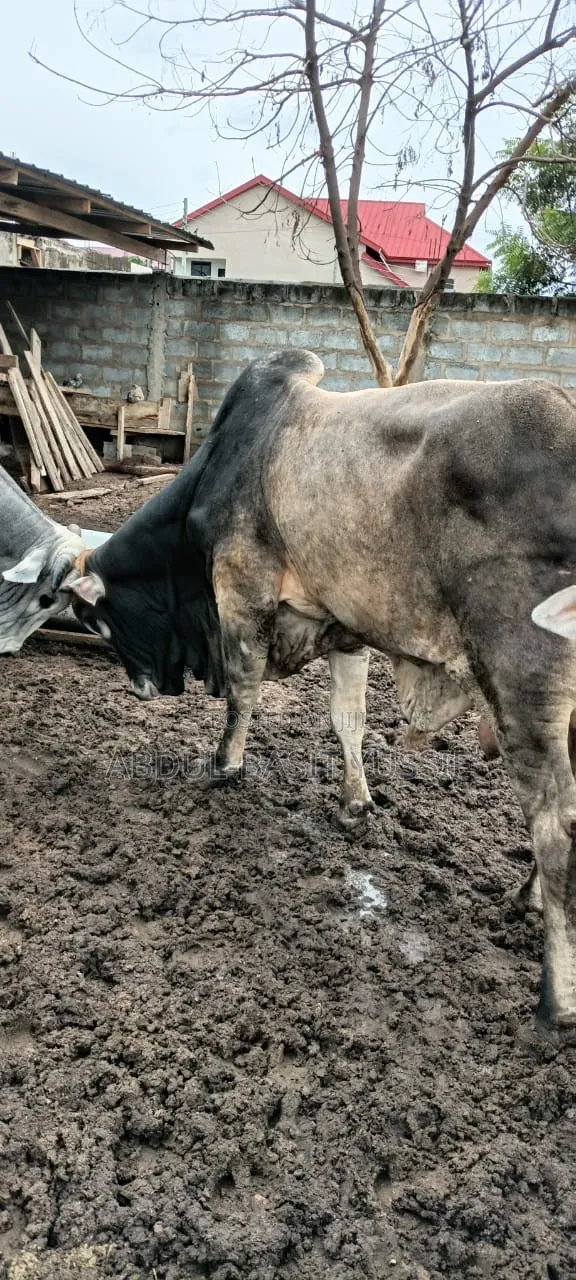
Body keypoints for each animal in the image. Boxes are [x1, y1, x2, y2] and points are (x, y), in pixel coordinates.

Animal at [64, 350, 576, 1031]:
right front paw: (355, 802)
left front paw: (224, 768)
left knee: (555, 822)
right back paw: (524, 898)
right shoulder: (344, 630)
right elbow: (347, 720)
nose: (141, 688)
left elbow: (242, 693)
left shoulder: (241, 590)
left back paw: (556, 999)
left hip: (524, 678)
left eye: (96, 619)